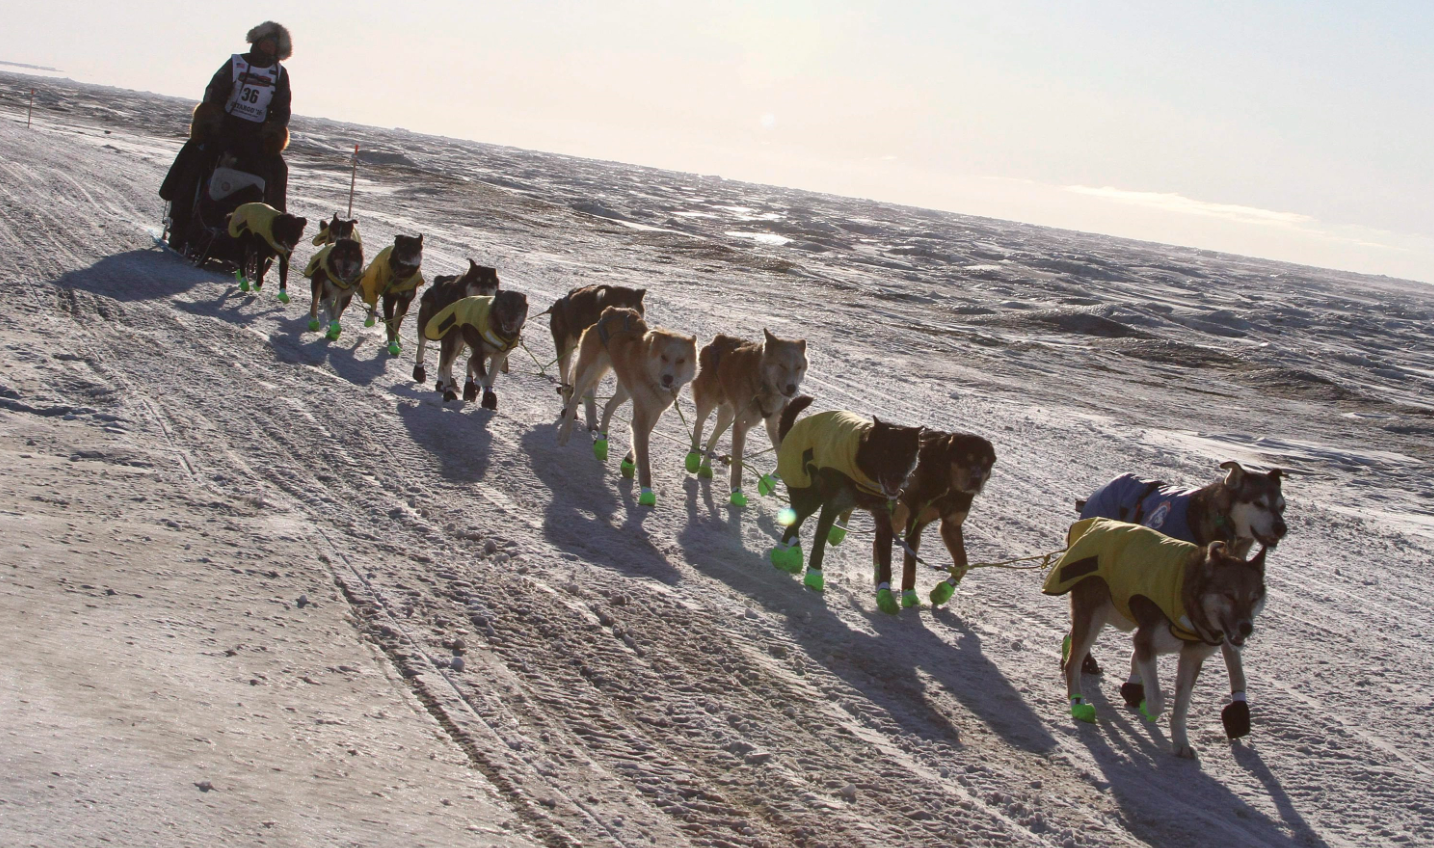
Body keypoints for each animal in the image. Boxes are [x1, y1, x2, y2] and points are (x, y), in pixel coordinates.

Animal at [553, 305, 694, 505]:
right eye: (664, 356)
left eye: (681, 360)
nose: (668, 378)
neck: (651, 377)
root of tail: (611, 311)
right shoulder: (642, 413)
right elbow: (644, 455)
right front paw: (646, 490)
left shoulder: (654, 411)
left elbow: (639, 440)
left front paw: (629, 462)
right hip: (588, 371)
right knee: (574, 399)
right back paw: (565, 434)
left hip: (624, 390)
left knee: (608, 406)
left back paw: (601, 442)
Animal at [682, 330, 808, 505]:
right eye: (781, 365)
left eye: (798, 367)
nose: (792, 388)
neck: (762, 386)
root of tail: (719, 339)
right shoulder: (741, 425)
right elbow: (737, 463)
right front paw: (736, 491)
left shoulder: (773, 425)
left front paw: (767, 482)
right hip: (708, 402)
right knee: (698, 425)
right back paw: (693, 457)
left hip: (727, 415)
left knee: (712, 439)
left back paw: (706, 466)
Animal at [1043, 522, 1267, 757]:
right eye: (1229, 595)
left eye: (1254, 598)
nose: (1246, 627)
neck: (1190, 600)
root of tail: (1093, 525)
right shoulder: (1145, 642)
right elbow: (1157, 699)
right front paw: (1150, 708)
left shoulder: (1191, 657)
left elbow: (1181, 707)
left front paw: (1181, 742)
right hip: (1094, 618)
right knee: (1073, 663)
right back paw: (1078, 702)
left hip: (1115, 612)